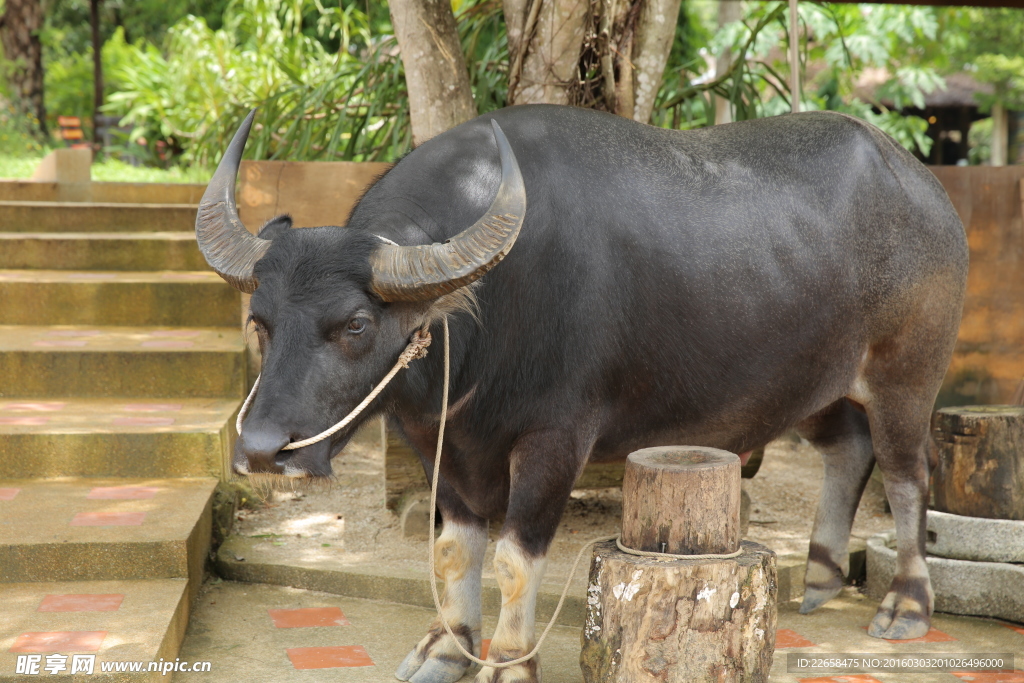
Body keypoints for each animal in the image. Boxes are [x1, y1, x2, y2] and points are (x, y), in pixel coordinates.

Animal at [197, 105, 966, 683]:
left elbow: (513, 557)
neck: (484, 320)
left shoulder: (555, 439)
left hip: (906, 374)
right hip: (815, 387)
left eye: (355, 324)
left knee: (907, 474)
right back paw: (823, 576)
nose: (262, 450)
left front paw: (509, 661)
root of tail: (927, 193)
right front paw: (447, 648)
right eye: (260, 321)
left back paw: (905, 605)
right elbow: (454, 550)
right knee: (848, 450)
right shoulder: (440, 440)